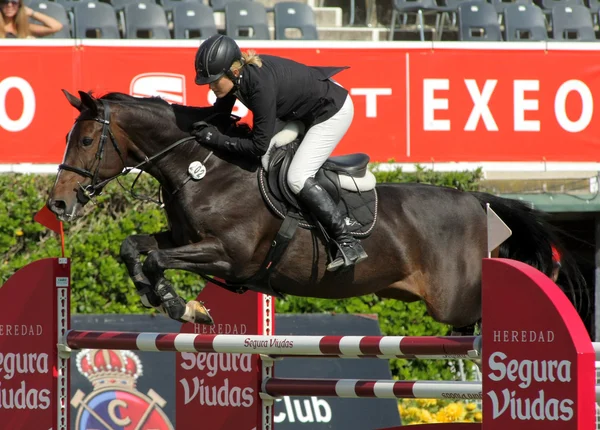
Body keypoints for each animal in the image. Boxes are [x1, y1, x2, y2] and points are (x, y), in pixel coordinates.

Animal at [48, 90, 584, 330]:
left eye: (88, 140)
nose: (59, 201)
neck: (204, 169)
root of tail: (476, 199)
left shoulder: (229, 256)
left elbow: (158, 257)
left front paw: (182, 305)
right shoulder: (185, 240)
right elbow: (134, 246)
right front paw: (156, 294)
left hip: (455, 301)